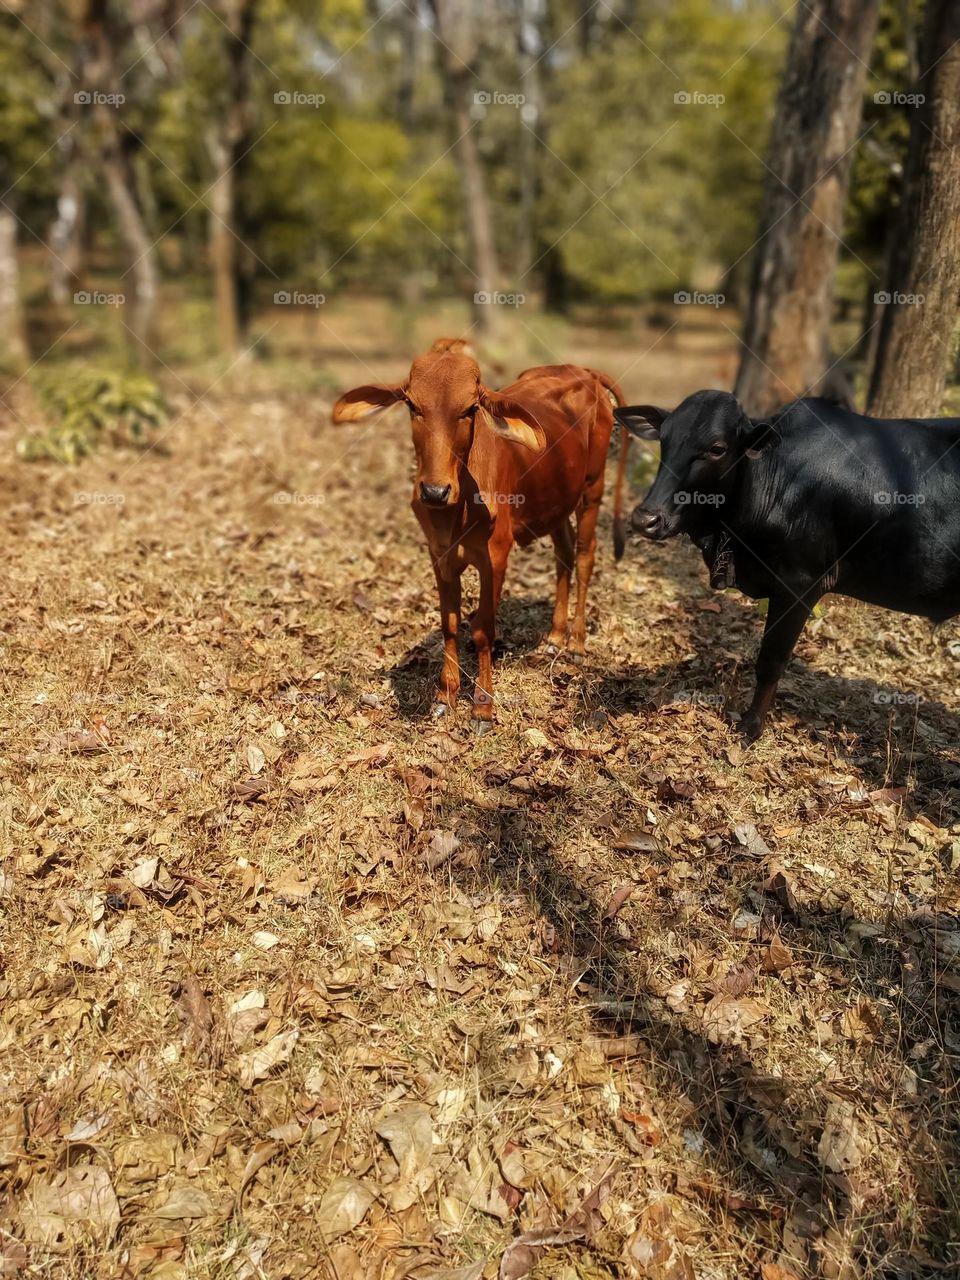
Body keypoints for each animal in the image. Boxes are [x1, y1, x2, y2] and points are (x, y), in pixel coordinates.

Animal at [332, 343, 632, 732]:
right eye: (412, 405)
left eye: (470, 409)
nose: (434, 491)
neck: (457, 509)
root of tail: (583, 371)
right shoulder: (440, 555)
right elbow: (449, 624)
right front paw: (445, 696)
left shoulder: (496, 558)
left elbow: (482, 630)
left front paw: (483, 708)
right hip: (556, 499)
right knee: (563, 553)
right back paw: (554, 636)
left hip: (592, 489)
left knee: (584, 556)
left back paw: (576, 644)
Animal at [619, 394, 960, 747]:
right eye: (664, 438)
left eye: (717, 448)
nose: (646, 519)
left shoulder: (799, 584)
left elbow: (771, 660)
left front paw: (752, 726)